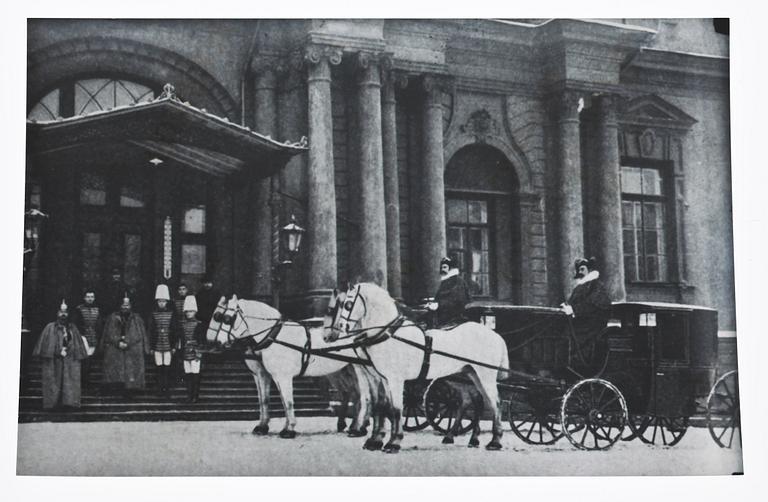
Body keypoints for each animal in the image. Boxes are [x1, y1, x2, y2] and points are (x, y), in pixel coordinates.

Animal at [207, 296, 378, 438]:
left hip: (359, 368)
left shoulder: (283, 376)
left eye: (227, 318)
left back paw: (359, 428)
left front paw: (289, 430)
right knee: (353, 394)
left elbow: (288, 401)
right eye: (218, 316)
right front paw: (263, 427)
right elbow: (266, 400)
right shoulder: (264, 375)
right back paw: (352, 425)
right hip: (341, 371)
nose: (216, 342)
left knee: (365, 396)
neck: (274, 336)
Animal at [324, 282, 510, 452]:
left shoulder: (394, 379)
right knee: (474, 401)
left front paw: (393, 442)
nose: (338, 331)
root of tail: (494, 335)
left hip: (485, 375)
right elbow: (383, 406)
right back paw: (469, 438)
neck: (388, 335)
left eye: (347, 304)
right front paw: (376, 441)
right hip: (467, 375)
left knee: (496, 402)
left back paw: (495, 441)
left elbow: (396, 409)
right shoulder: (382, 378)